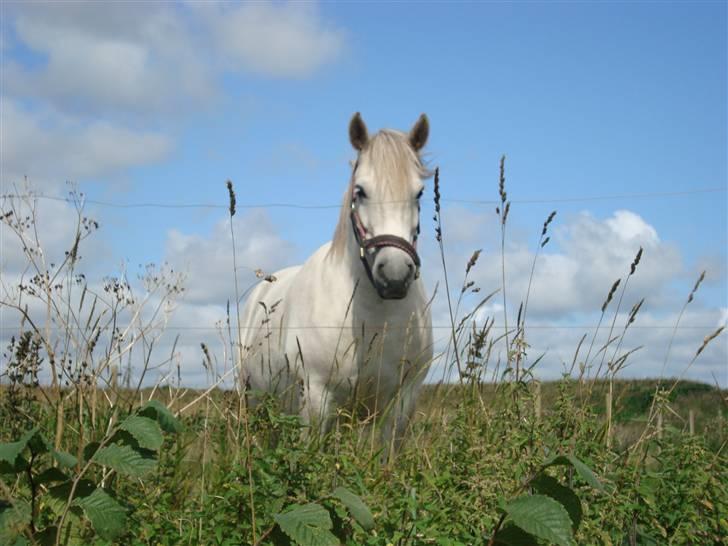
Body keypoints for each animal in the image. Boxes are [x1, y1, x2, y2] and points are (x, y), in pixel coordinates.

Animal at [239, 112, 432, 440]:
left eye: (418, 192)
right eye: (361, 191)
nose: (394, 276)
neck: (374, 318)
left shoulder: (400, 402)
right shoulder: (316, 397)